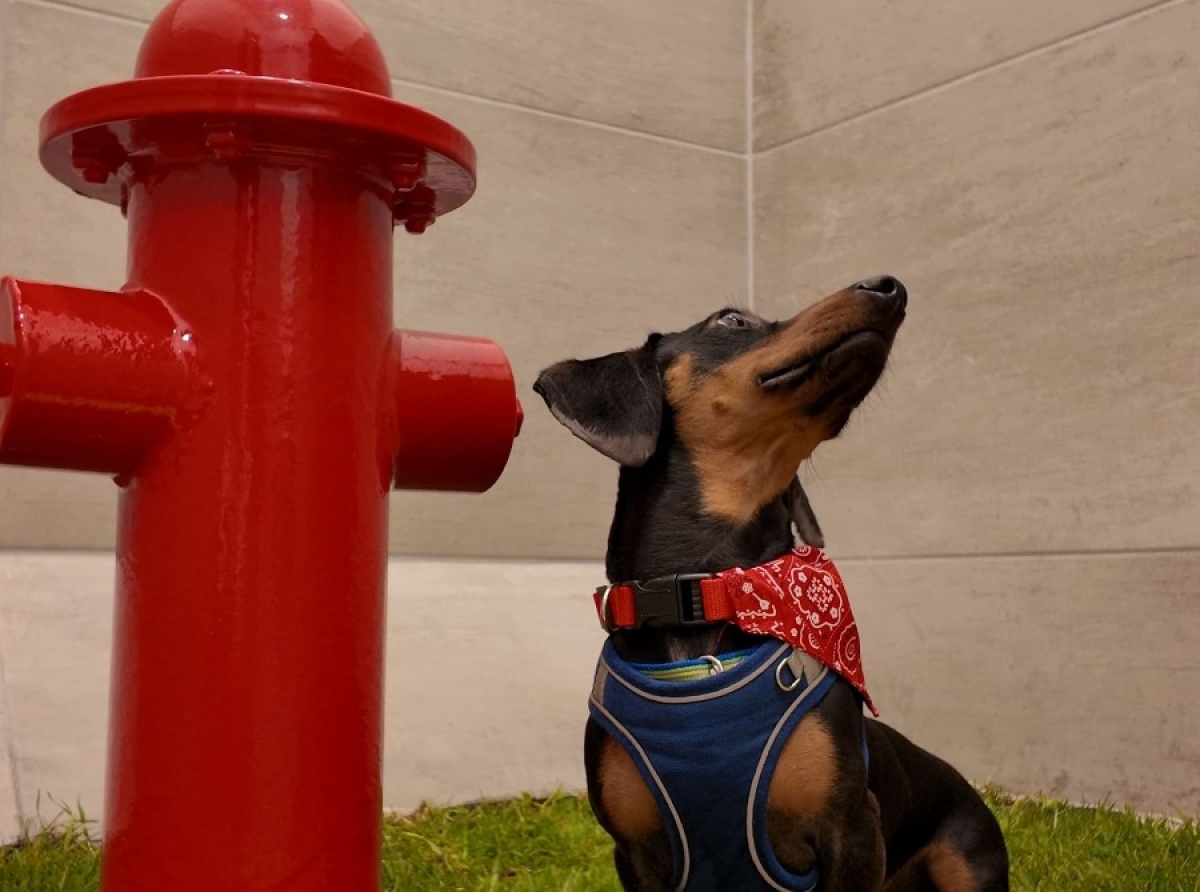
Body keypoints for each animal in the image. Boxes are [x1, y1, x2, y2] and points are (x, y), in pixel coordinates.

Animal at [535, 276, 1003, 888]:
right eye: (731, 320)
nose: (890, 287)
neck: (705, 595)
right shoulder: (633, 852)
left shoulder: (852, 828)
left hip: (966, 857)